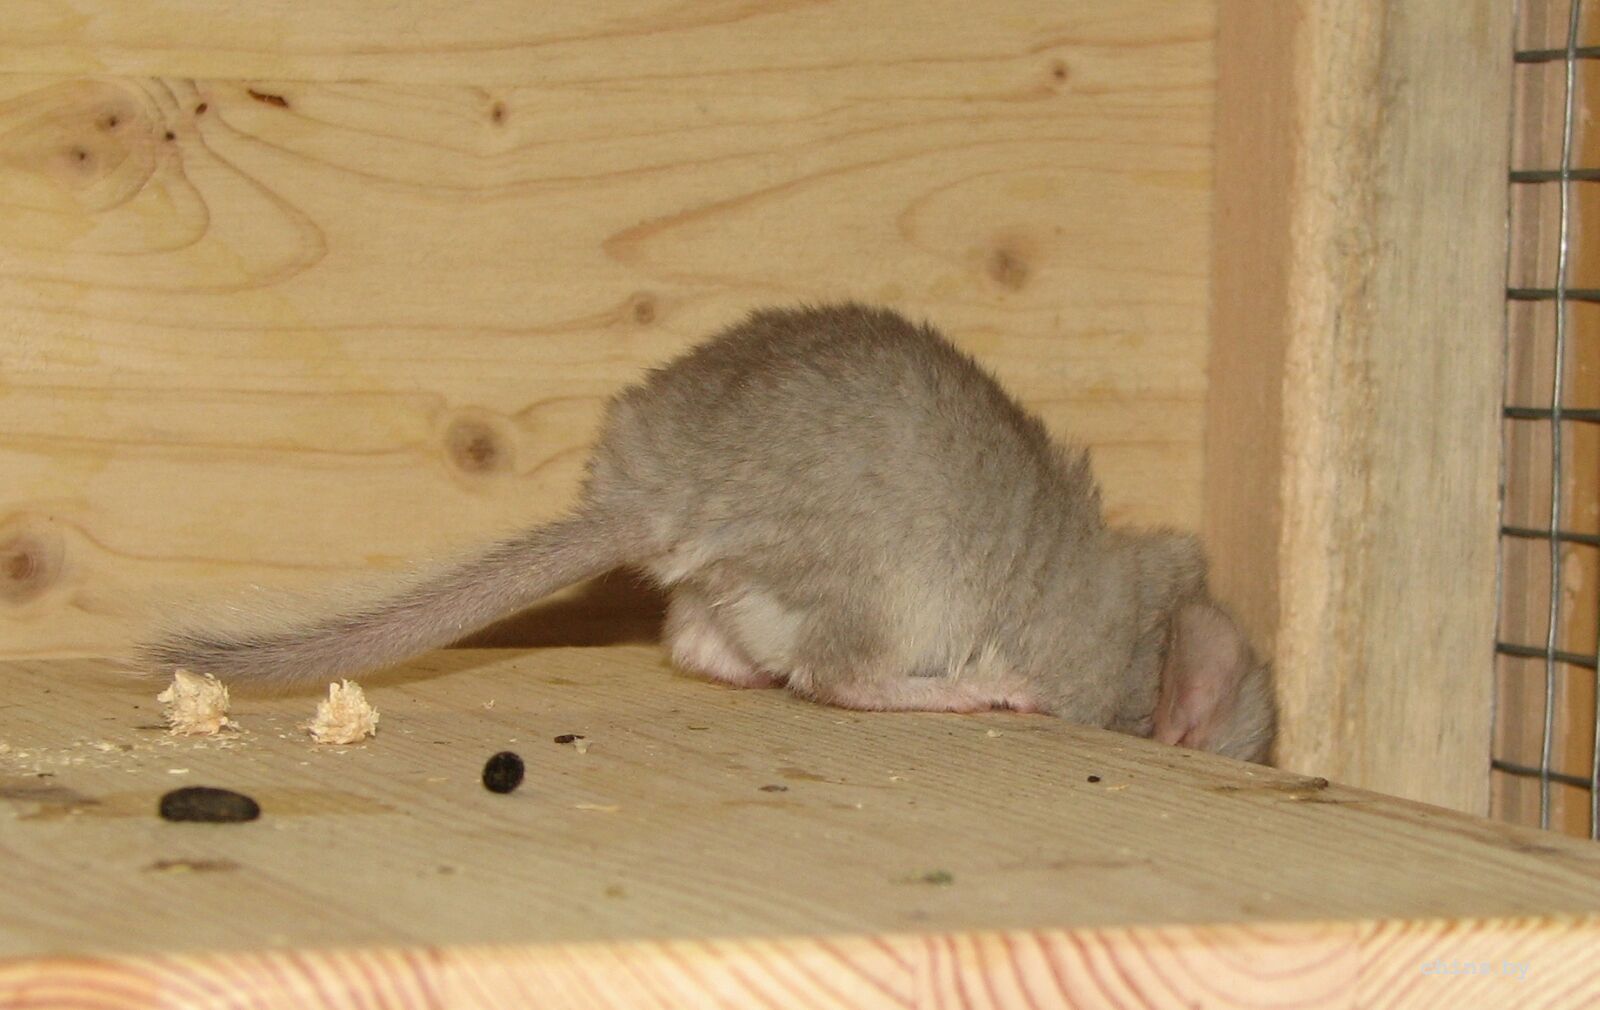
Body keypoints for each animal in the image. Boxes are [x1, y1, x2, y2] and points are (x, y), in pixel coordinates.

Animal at [141, 303, 1275, 762]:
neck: (1138, 638)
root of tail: (660, 496)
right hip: (893, 588)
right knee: (840, 679)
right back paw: (986, 690)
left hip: (742, 592)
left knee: (700, 647)